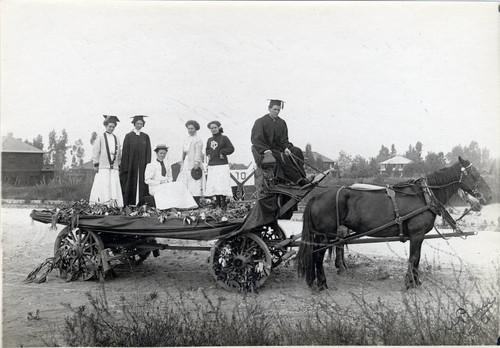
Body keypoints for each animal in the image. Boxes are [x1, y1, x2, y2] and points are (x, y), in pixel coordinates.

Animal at [296, 156, 492, 290]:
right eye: (474, 175)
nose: (489, 196)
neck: (424, 195)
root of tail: (316, 197)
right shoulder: (417, 234)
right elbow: (414, 258)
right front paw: (411, 282)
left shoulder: (418, 236)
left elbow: (415, 259)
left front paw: (415, 280)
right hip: (325, 236)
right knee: (318, 257)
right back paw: (322, 284)